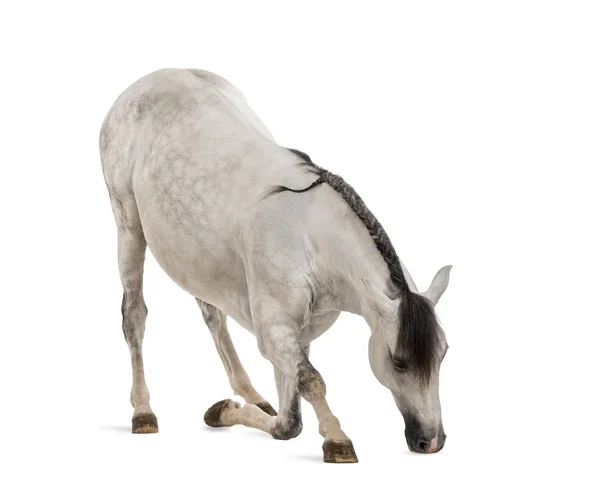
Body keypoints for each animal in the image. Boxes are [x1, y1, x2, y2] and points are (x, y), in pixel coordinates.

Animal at [101, 68, 452, 462]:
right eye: (399, 361)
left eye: (443, 354)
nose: (431, 442)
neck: (309, 236)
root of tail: (149, 79)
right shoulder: (274, 332)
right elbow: (311, 382)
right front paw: (337, 439)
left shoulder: (299, 333)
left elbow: (289, 419)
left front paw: (226, 410)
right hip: (128, 226)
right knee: (134, 316)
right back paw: (143, 411)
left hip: (195, 258)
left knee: (212, 315)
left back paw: (251, 395)